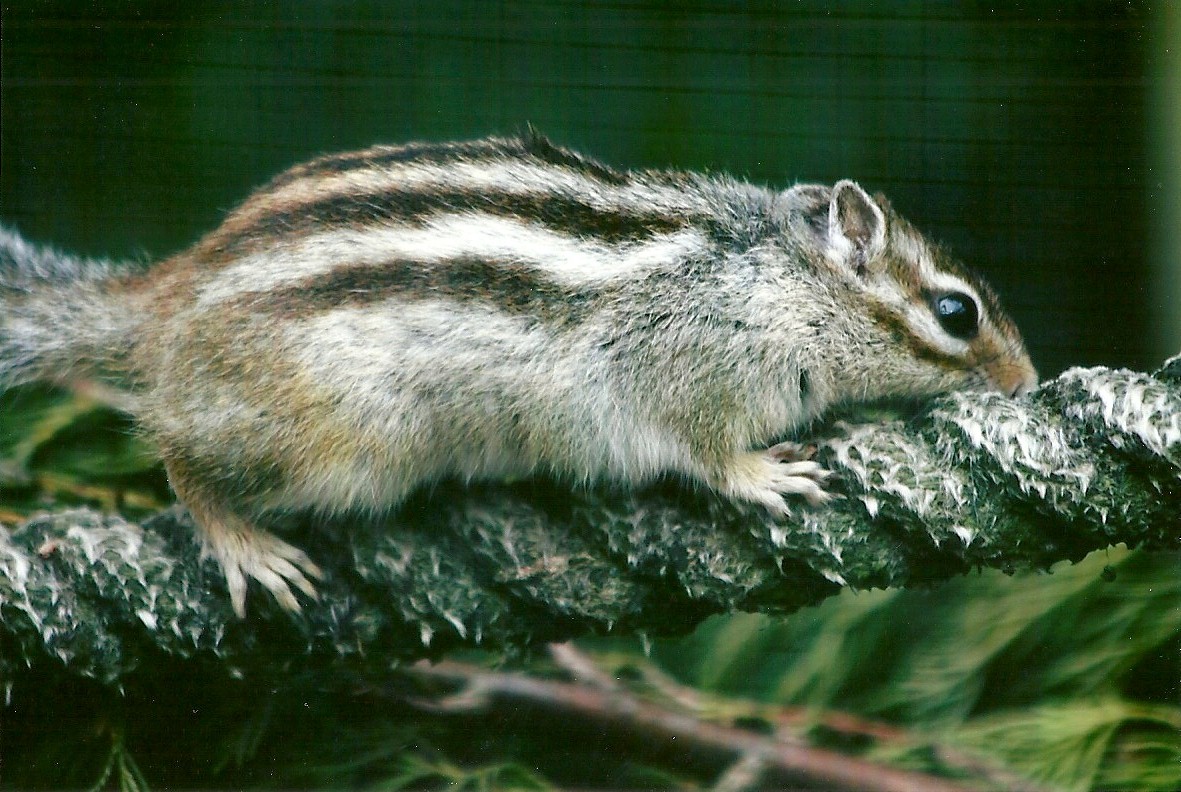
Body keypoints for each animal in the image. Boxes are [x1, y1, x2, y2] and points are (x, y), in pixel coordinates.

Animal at [0, 132, 1038, 617]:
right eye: (957, 313)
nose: (1026, 381)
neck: (774, 278)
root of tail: (168, 302)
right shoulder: (694, 367)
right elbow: (705, 448)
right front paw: (760, 474)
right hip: (328, 440)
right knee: (181, 454)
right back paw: (241, 541)